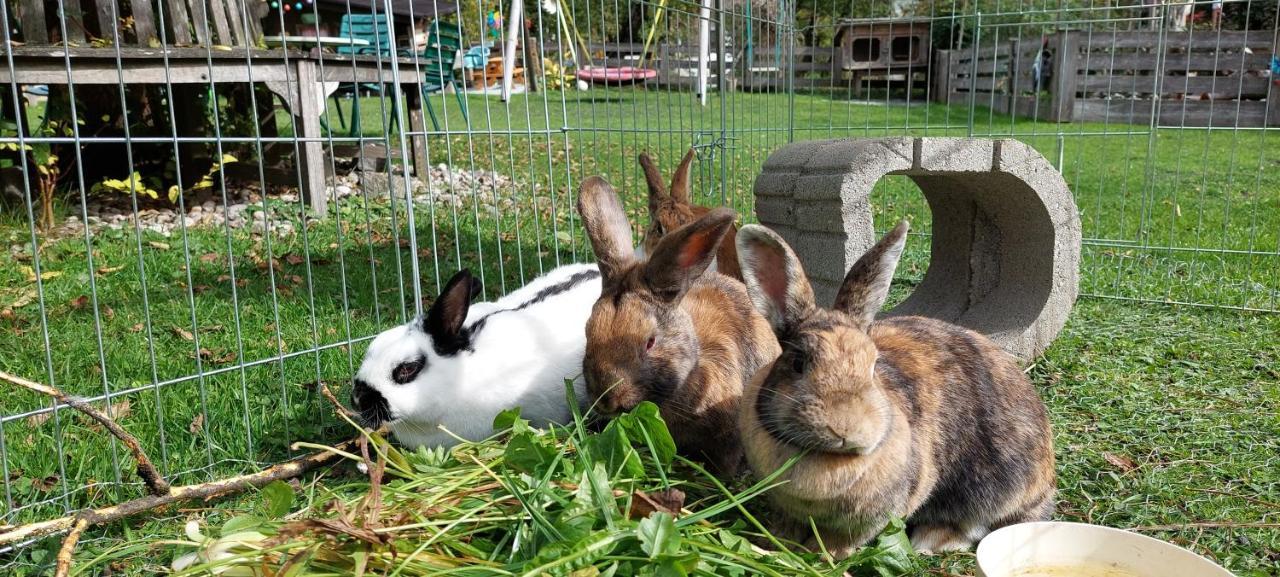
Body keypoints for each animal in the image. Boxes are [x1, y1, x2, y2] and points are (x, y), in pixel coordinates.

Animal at [737, 220, 1054, 555]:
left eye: (873, 365)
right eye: (798, 362)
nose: (844, 427)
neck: (827, 458)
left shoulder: (880, 513)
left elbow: (848, 538)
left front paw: (825, 554)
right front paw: (776, 541)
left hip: (993, 488)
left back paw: (931, 539)